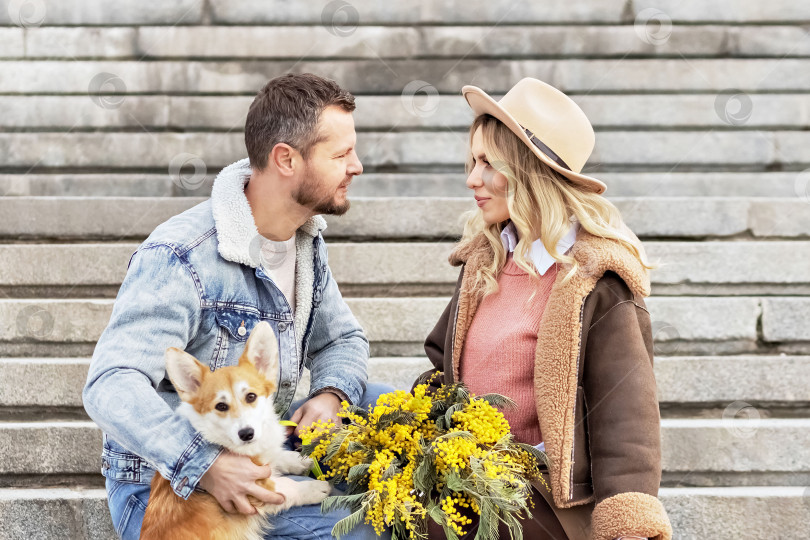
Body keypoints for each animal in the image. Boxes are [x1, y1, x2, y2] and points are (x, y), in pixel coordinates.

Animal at [140, 320, 330, 540]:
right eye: (221, 406)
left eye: (251, 396)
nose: (246, 434)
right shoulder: (254, 490)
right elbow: (285, 487)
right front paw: (315, 488)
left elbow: (278, 456)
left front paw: (300, 460)